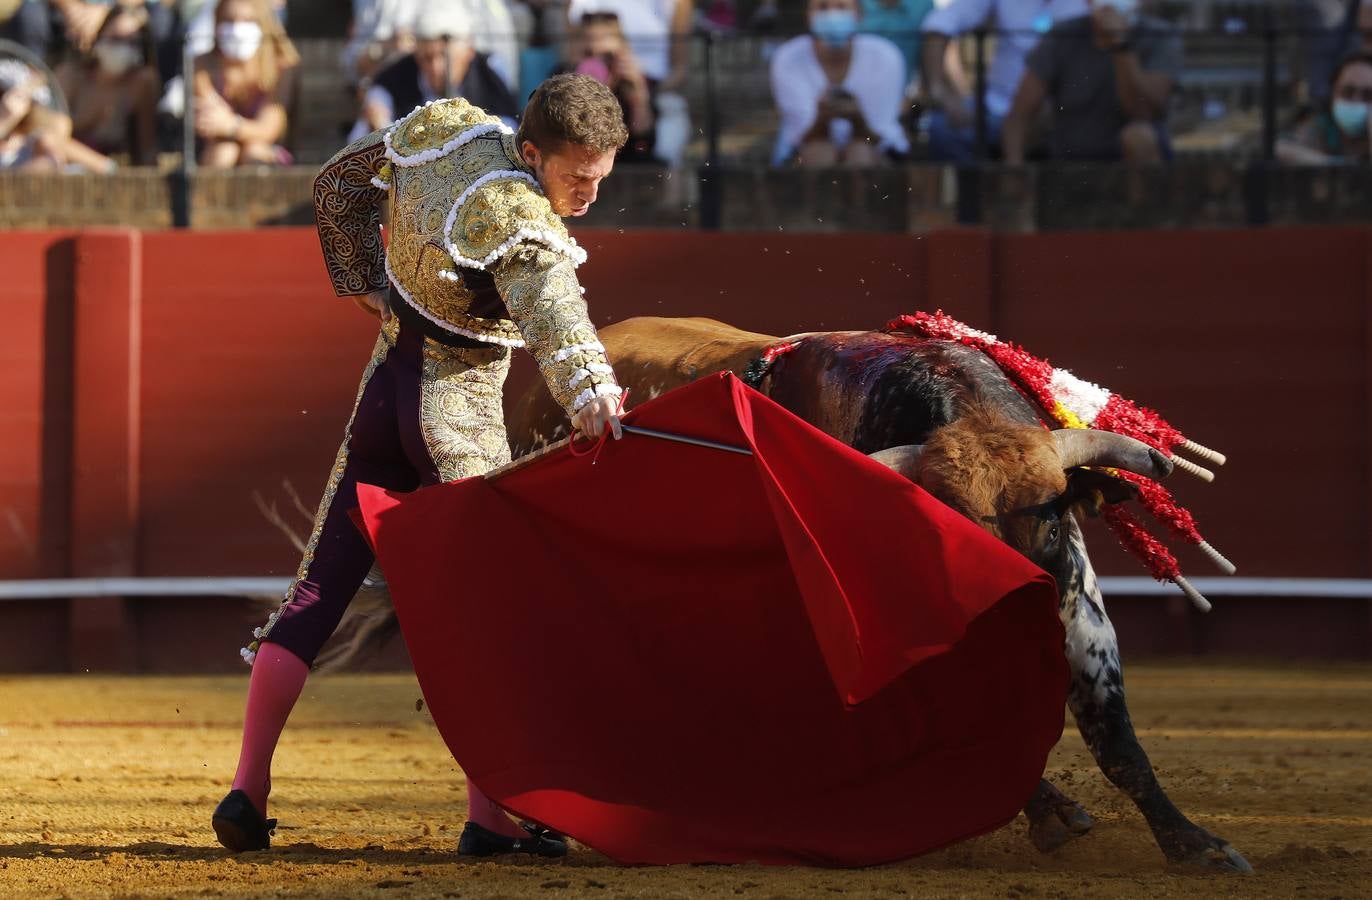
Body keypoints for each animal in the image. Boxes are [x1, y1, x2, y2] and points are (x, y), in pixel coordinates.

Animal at [513, 314, 1256, 872]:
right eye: (947, 529)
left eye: (1048, 519)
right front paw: (1050, 812)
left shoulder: (1079, 613)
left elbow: (1118, 743)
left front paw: (1197, 846)